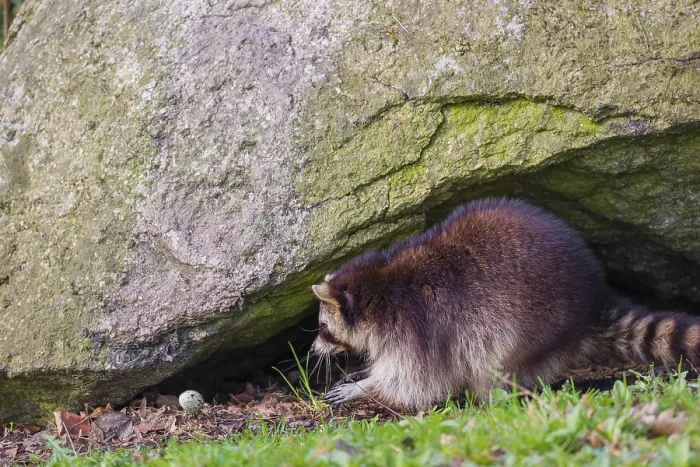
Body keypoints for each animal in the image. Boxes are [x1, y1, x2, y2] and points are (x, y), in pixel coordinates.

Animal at [310, 198, 700, 410]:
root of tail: (593, 300)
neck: (378, 287)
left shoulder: (415, 328)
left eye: (323, 327)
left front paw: (363, 387)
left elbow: (414, 381)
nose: (312, 350)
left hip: (537, 326)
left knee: (496, 360)